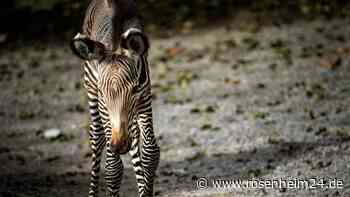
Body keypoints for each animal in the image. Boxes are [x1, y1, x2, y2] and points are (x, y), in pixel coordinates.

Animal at [70, 0, 160, 196]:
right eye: (103, 93)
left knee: (134, 136)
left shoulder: (144, 97)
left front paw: (145, 189)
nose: (119, 145)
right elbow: (113, 169)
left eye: (134, 88)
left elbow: (150, 153)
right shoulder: (103, 104)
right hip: (91, 89)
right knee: (97, 136)